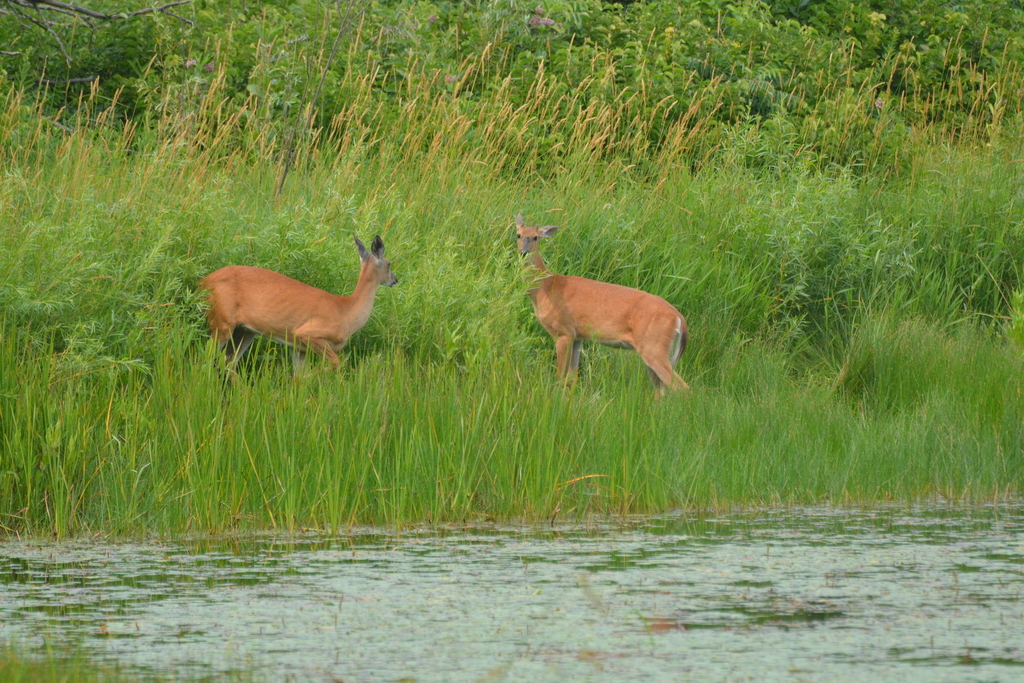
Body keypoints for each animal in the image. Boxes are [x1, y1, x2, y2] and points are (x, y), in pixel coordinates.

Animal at [200, 234, 398, 375]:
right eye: (389, 263)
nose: (395, 280)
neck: (347, 313)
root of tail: (202, 281)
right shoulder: (309, 333)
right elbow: (334, 364)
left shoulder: (298, 347)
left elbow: (299, 378)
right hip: (221, 320)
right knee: (206, 355)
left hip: (245, 330)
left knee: (228, 362)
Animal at [515, 213, 689, 395]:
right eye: (518, 235)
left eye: (536, 237)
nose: (524, 252)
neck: (545, 288)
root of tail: (679, 318)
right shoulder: (578, 336)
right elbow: (571, 379)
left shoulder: (563, 331)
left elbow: (560, 376)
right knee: (661, 390)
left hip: (653, 346)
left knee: (682, 388)